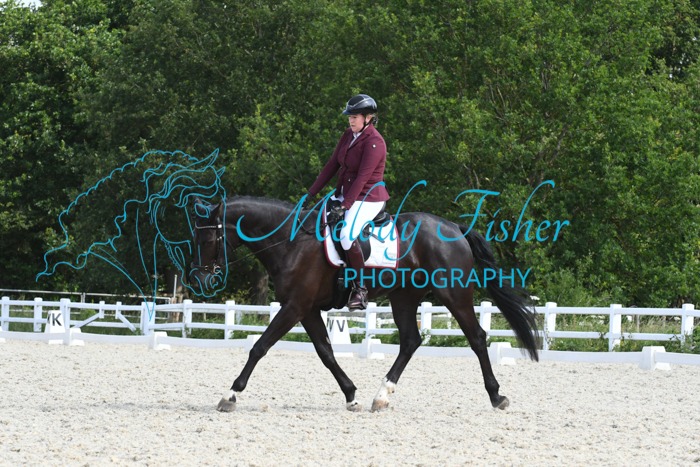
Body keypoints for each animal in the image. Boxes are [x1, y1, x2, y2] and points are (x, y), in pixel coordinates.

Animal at [189, 195, 540, 412]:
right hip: (403, 297)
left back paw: (497, 396)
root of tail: (454, 227)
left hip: (453, 294)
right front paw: (351, 396)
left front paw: (230, 395)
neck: (292, 242)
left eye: (209, 239)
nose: (202, 280)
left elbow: (259, 347)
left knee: (477, 338)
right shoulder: (307, 309)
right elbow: (326, 353)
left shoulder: (295, 307)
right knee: (410, 341)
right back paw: (380, 397)